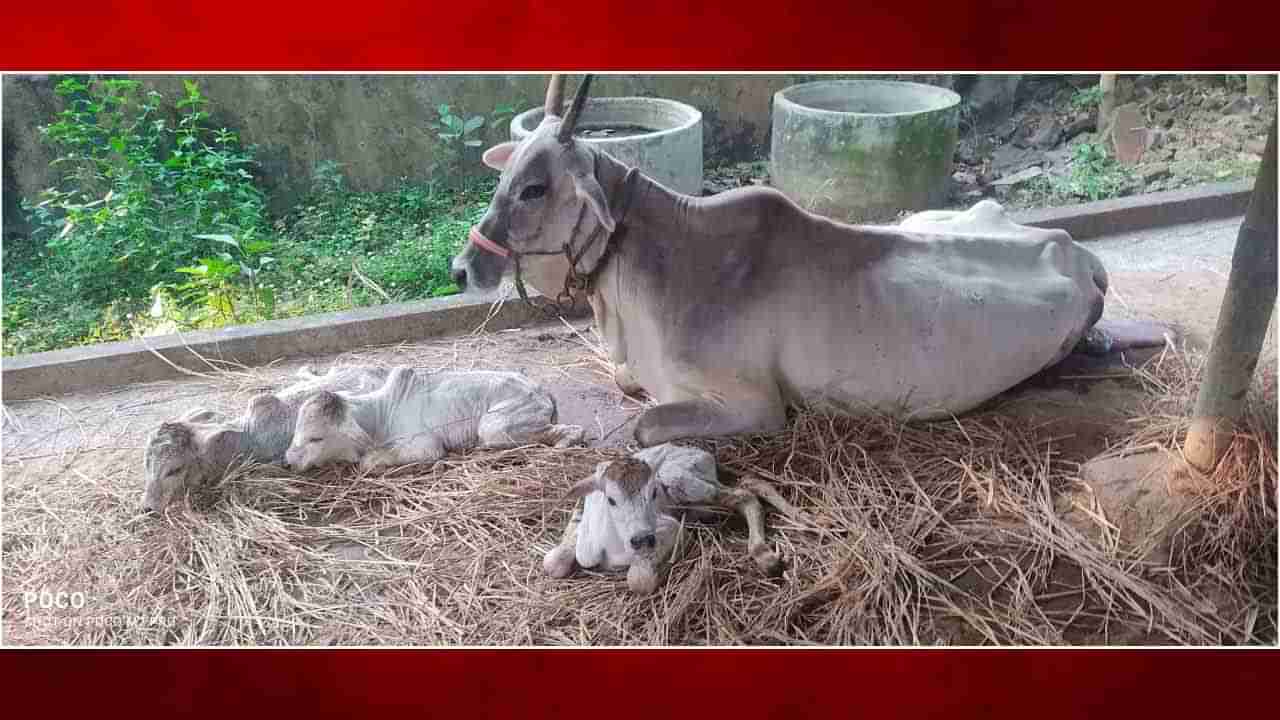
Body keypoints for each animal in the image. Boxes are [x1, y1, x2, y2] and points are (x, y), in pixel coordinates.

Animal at [448, 73, 1162, 443]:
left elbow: (641, 427)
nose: (462, 269)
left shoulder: (754, 408)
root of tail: (1076, 251)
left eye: (535, 188)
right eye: (504, 175)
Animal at [542, 443, 808, 594]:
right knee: (749, 483)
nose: (642, 539)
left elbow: (639, 580)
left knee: (745, 494)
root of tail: (703, 453)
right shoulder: (583, 514)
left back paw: (770, 551)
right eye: (611, 500)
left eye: (654, 492)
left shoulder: (669, 527)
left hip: (681, 479)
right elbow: (553, 562)